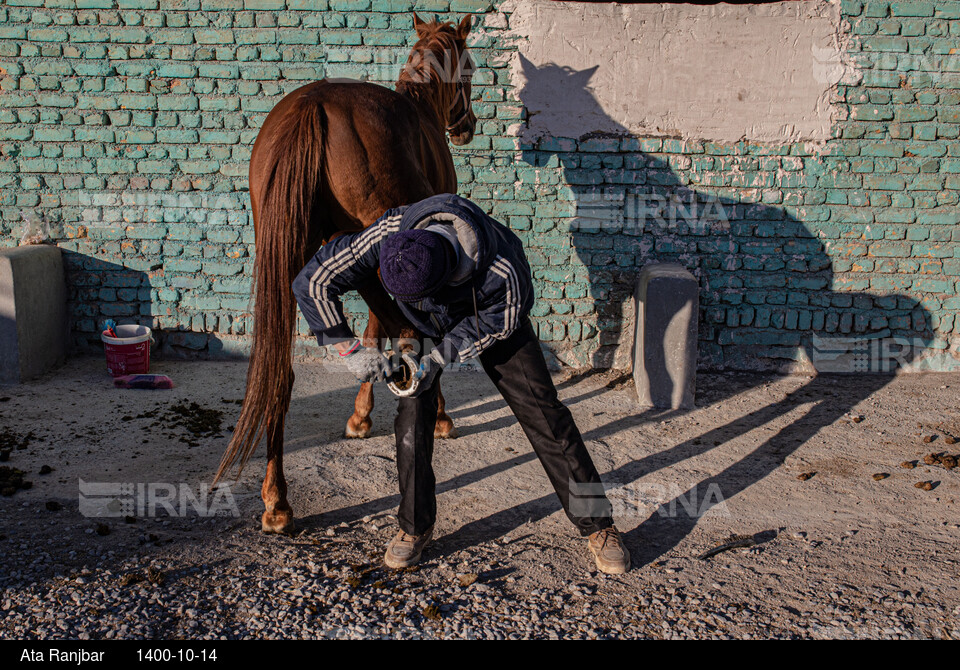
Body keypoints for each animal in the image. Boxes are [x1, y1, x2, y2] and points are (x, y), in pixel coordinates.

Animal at [213, 14, 476, 536]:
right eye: (472, 69)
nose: (468, 126)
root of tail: (311, 108)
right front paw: (434, 417)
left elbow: (376, 331)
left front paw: (360, 417)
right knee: (405, 331)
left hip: (294, 250)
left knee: (283, 370)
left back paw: (276, 501)